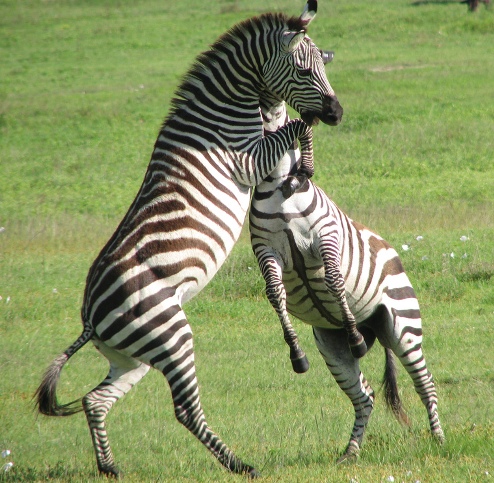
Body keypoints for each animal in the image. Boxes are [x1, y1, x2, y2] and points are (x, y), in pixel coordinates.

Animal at [34, 0, 344, 478]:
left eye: (323, 66)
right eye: (302, 69)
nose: (338, 113)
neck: (226, 109)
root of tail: (89, 319)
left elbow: (293, 122)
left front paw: (305, 165)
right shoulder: (249, 160)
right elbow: (297, 125)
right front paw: (306, 163)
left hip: (133, 355)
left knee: (94, 400)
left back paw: (110, 467)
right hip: (169, 333)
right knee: (184, 410)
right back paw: (239, 465)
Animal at [249, 97, 446, 462]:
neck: (281, 187)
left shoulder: (324, 236)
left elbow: (333, 278)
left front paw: (354, 335)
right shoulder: (265, 249)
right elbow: (274, 294)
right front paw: (296, 354)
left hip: (403, 326)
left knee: (425, 384)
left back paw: (439, 438)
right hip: (332, 347)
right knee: (365, 397)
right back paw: (350, 453)